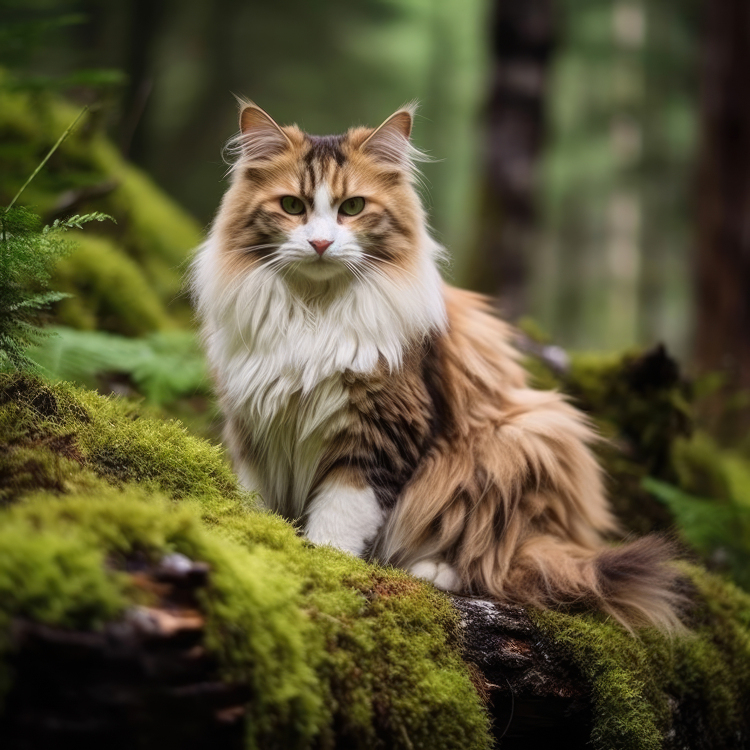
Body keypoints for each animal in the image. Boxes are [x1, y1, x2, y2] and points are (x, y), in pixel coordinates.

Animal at [194, 100, 688, 636]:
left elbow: (338, 519)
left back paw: (431, 569)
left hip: (517, 441)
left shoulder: (380, 434)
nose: (322, 244)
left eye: (353, 208)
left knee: (499, 562)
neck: (313, 312)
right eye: (291, 206)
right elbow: (258, 501)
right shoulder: (254, 427)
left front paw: (325, 565)